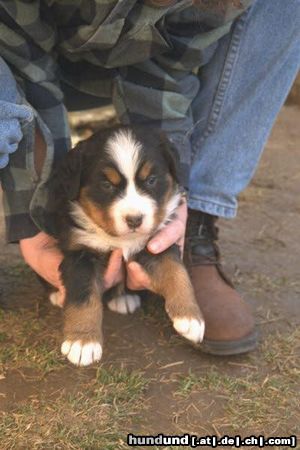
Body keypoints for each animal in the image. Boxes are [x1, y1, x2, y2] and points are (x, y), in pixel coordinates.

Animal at [45, 124, 205, 366]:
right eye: (106, 185)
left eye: (151, 180)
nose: (135, 219)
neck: (120, 239)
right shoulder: (81, 253)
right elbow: (84, 297)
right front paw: (82, 342)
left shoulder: (158, 241)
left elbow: (177, 273)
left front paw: (190, 316)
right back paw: (57, 295)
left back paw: (124, 298)